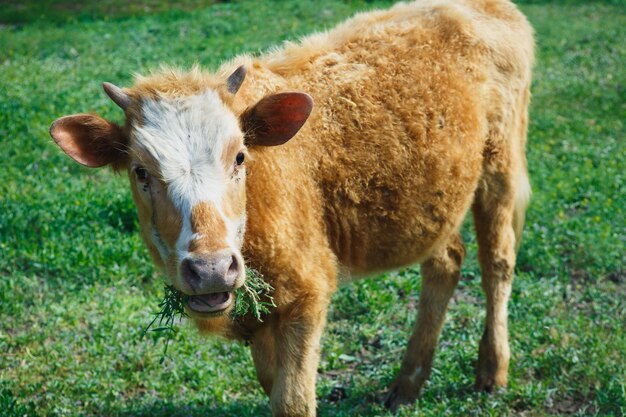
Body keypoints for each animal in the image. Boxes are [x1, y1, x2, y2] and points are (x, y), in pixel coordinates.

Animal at [51, 1, 532, 414]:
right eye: (141, 171)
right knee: (447, 261)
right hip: (436, 202)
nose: (210, 268)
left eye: (240, 157)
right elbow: (272, 384)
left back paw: (491, 369)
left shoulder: (308, 293)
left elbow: (293, 400)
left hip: (501, 168)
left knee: (497, 263)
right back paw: (407, 384)